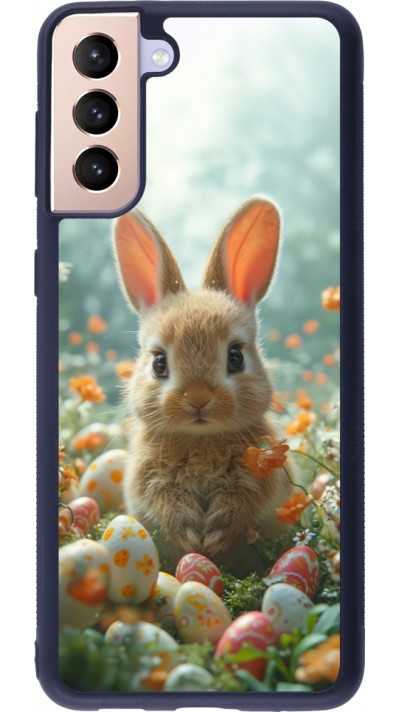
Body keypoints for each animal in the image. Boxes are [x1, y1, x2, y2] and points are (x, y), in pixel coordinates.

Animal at [113, 196, 293, 566]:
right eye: (159, 363)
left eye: (236, 357)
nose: (197, 399)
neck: (200, 439)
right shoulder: (147, 478)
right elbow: (164, 500)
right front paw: (190, 534)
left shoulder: (262, 475)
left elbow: (244, 500)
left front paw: (216, 534)